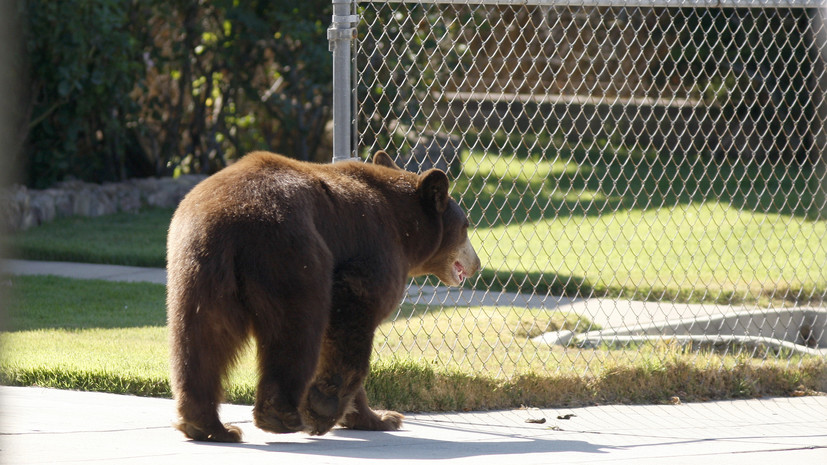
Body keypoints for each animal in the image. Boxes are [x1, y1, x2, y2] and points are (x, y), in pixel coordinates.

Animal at [166, 150, 480, 442]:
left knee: (202, 339)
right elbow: (352, 315)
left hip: (198, 268)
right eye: (466, 226)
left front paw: (380, 417)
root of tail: (230, 217)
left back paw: (208, 426)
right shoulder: (375, 250)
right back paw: (282, 416)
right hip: (290, 253)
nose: (476, 264)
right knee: (297, 328)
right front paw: (325, 407)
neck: (406, 230)